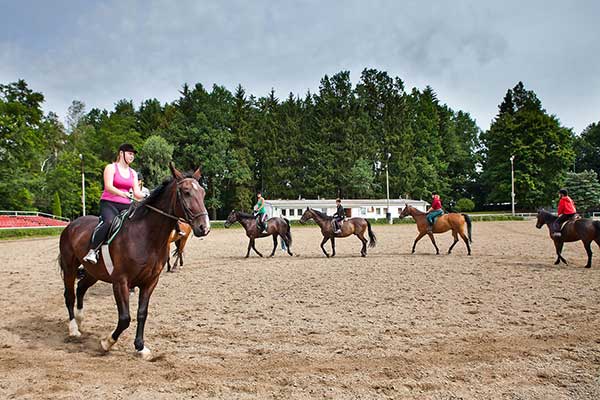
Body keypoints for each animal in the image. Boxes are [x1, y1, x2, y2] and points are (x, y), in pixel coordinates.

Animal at [58, 162, 209, 360]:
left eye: (203, 193)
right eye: (186, 192)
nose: (204, 227)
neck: (145, 235)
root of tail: (72, 224)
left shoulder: (150, 281)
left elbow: (142, 313)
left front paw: (140, 347)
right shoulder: (121, 281)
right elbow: (125, 318)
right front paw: (107, 342)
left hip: (94, 272)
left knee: (81, 288)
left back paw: (80, 320)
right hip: (70, 267)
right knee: (69, 295)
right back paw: (74, 328)